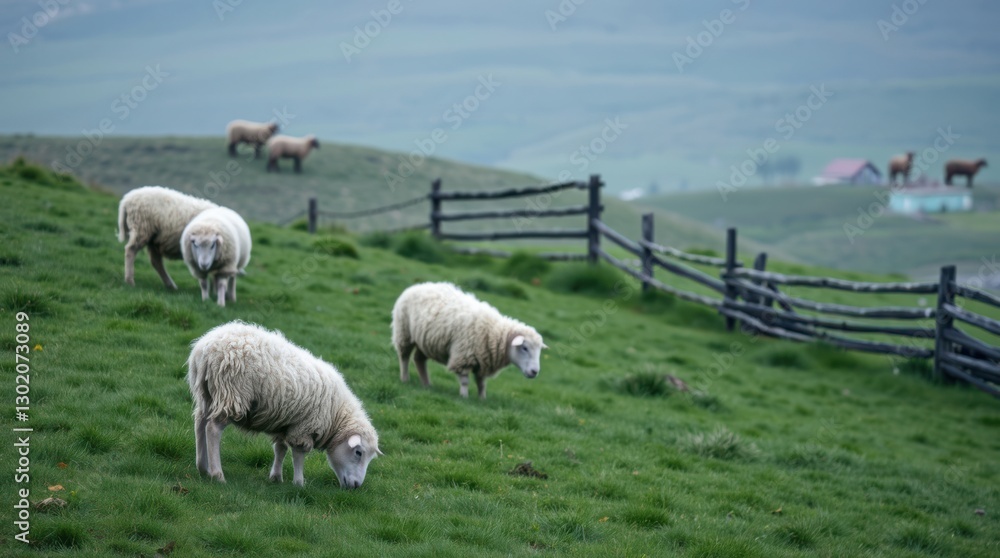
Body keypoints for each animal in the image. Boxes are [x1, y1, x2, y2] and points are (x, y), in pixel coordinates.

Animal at [187, 320, 382, 488]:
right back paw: (217, 474)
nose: (356, 486)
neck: (336, 415)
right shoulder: (304, 427)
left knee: (200, 423)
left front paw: (276, 477)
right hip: (232, 393)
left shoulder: (285, 422)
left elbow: (280, 449)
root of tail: (204, 348)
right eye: (358, 452)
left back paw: (203, 467)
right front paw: (299, 483)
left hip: (207, 393)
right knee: (213, 428)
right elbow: (299, 454)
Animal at [391, 282, 547, 400]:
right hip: (404, 332)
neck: (493, 332)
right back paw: (405, 379)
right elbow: (465, 381)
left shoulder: (484, 361)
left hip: (425, 341)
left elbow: (482, 383)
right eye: (525, 348)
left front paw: (482, 399)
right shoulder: (463, 356)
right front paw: (464, 397)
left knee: (419, 360)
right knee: (404, 357)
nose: (534, 372)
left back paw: (426, 384)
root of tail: (418, 285)